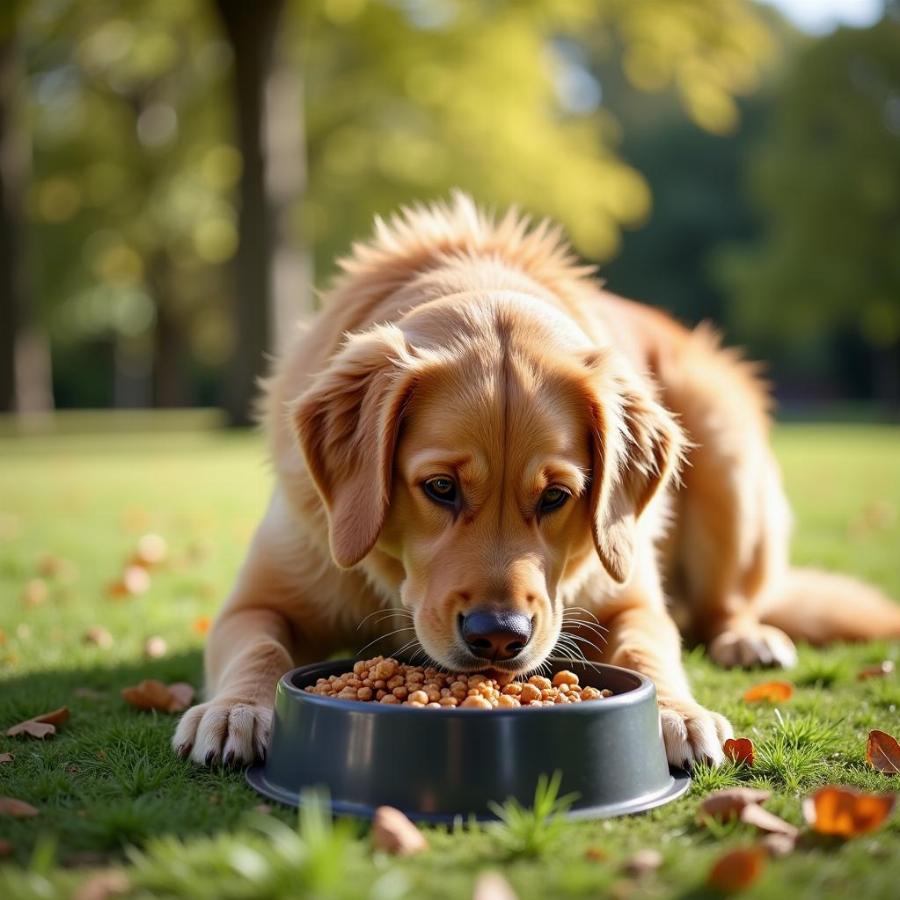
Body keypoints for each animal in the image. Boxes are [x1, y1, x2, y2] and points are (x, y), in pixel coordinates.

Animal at [171, 195, 900, 768]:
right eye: (440, 488)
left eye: (557, 497)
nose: (499, 636)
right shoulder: (257, 602)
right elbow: (259, 649)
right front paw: (236, 709)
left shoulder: (632, 597)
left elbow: (650, 646)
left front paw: (675, 710)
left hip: (724, 444)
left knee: (730, 603)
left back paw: (747, 636)